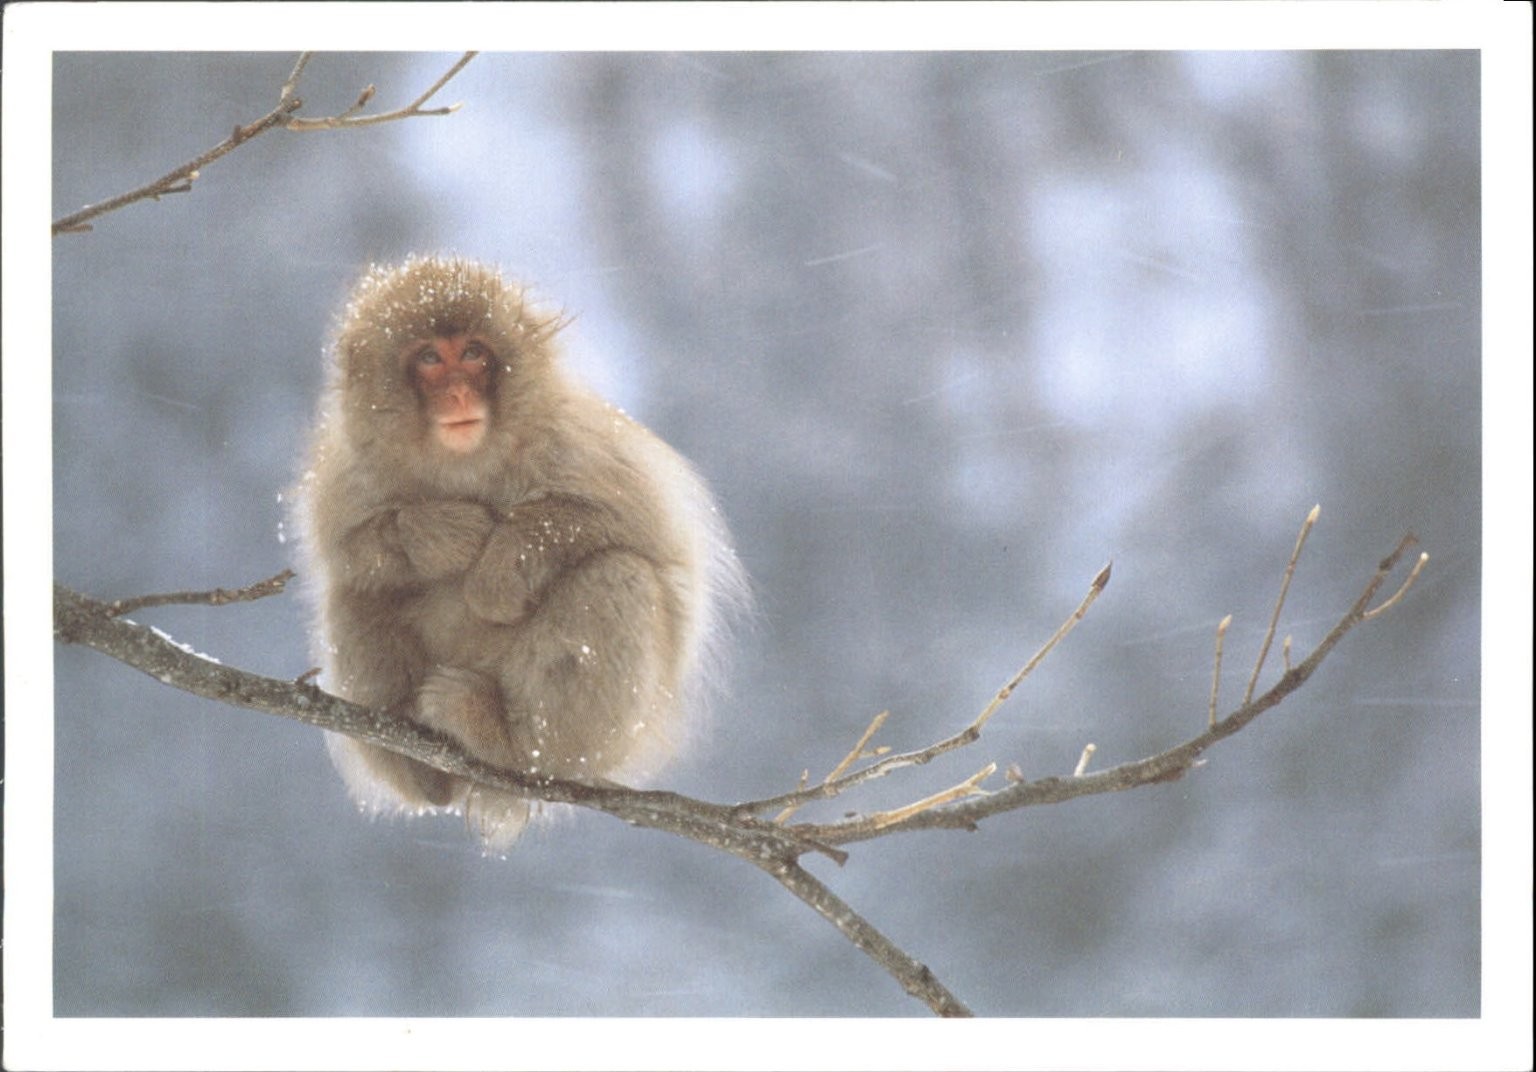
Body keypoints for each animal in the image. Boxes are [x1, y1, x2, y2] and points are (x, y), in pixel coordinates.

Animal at [294, 255, 745, 850]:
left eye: (474, 353)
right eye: (431, 358)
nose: (458, 394)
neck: (468, 461)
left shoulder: (573, 438)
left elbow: (635, 528)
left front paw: (497, 577)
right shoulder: (350, 465)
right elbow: (347, 547)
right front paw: (442, 534)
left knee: (619, 574)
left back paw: (506, 742)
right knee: (357, 594)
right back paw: (424, 773)